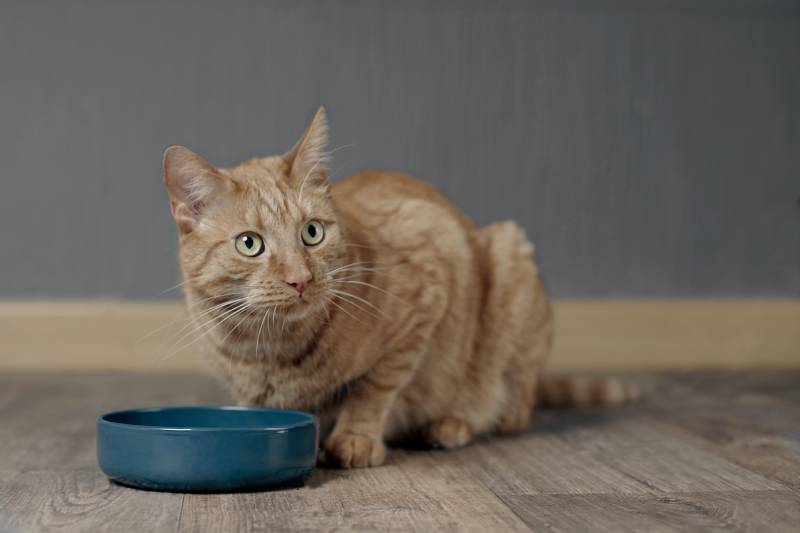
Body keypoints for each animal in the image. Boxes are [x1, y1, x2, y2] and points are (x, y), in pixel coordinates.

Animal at [162, 107, 636, 466]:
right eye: (250, 244)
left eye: (312, 233)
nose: (301, 279)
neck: (268, 348)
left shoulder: (428, 285)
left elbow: (375, 386)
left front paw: (354, 438)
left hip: (510, 259)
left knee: (510, 410)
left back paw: (449, 425)